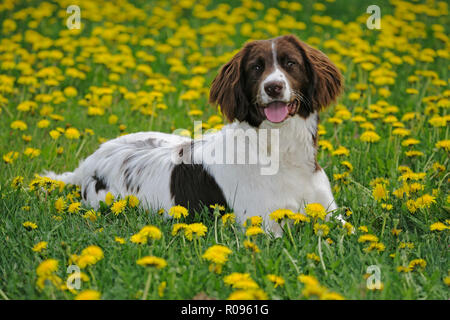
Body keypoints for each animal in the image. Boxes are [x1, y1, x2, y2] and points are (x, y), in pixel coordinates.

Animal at [45, 34, 344, 235]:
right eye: (256, 67)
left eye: (291, 63)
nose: (273, 87)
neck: (281, 149)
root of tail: (91, 160)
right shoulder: (263, 224)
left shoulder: (330, 211)